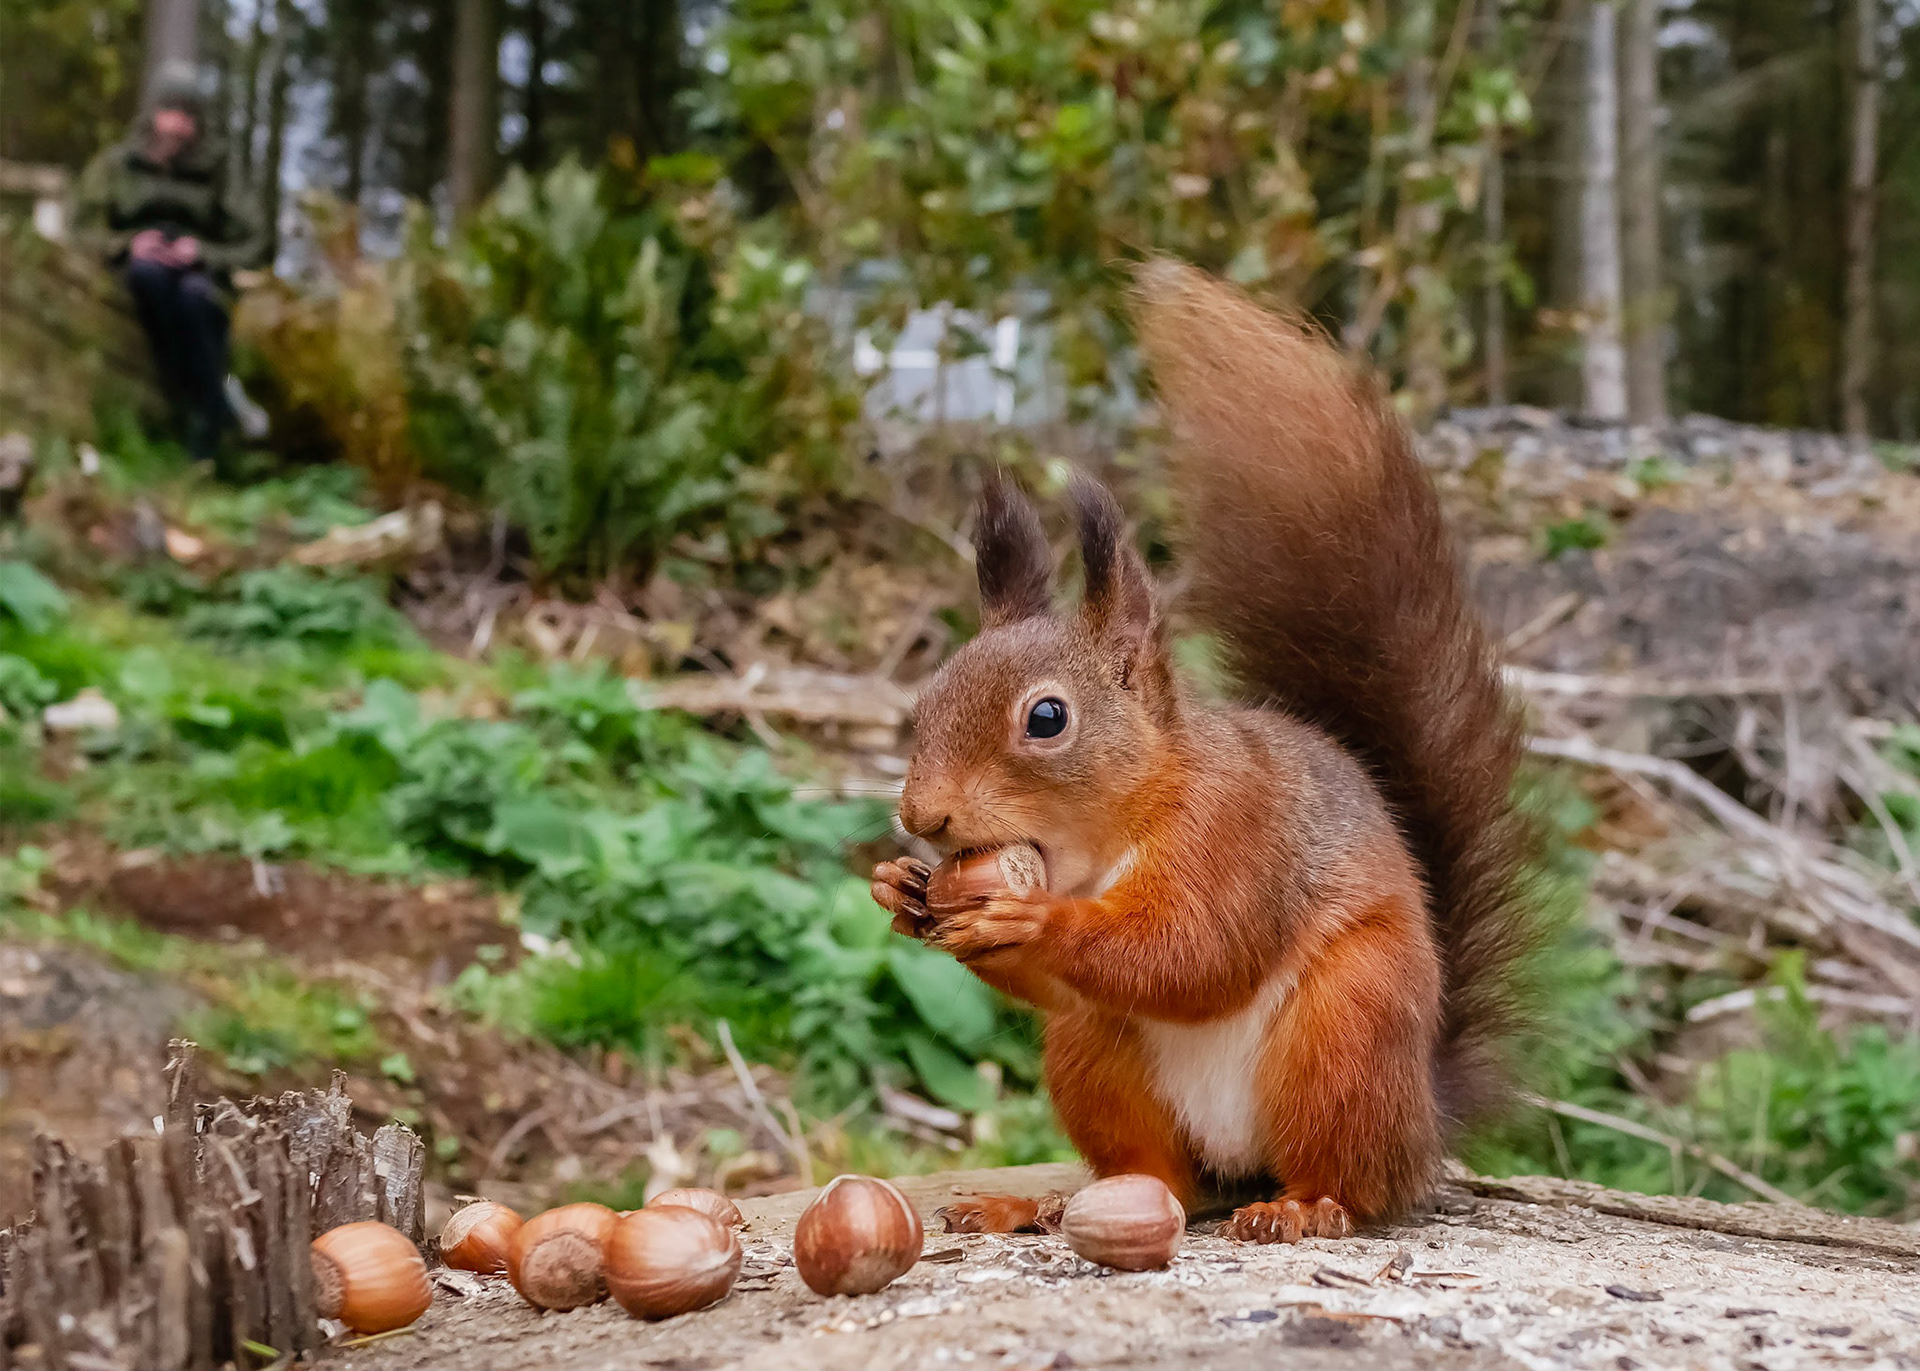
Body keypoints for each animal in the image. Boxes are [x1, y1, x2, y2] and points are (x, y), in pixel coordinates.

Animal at [869, 260, 1538, 1242]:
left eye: (1046, 718)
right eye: (928, 696)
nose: (922, 814)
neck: (1101, 837)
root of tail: (1423, 1119)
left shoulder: (1238, 830)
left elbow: (1198, 950)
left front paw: (1031, 917)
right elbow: (1077, 983)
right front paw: (902, 888)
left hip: (1349, 1026)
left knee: (1349, 1175)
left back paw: (1305, 1207)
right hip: (1095, 1056)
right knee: (1159, 1174)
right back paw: (1038, 1202)